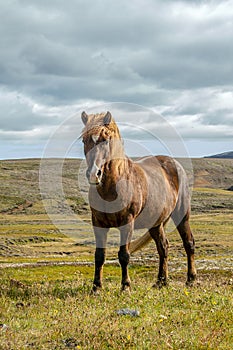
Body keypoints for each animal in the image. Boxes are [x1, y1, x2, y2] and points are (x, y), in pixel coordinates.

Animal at [81, 110, 196, 292]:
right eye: (84, 140)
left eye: (105, 140)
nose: (94, 174)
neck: (112, 187)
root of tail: (175, 164)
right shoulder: (98, 223)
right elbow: (99, 255)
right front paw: (96, 287)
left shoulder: (127, 223)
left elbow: (124, 255)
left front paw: (125, 286)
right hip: (156, 224)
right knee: (163, 247)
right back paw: (161, 281)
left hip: (182, 216)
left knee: (188, 243)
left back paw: (191, 279)